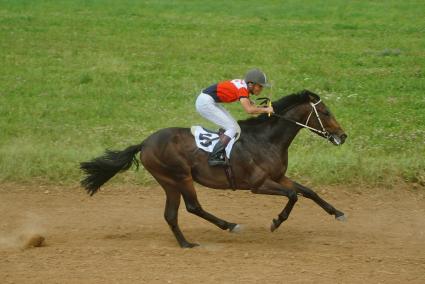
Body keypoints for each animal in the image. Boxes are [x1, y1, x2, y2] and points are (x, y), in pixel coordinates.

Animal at [80, 90, 348, 247]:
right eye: (325, 112)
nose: (343, 136)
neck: (267, 139)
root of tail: (145, 143)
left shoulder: (279, 177)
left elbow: (308, 191)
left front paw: (338, 213)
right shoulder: (259, 185)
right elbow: (293, 195)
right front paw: (276, 221)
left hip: (169, 182)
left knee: (171, 214)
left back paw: (186, 243)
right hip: (179, 177)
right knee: (193, 207)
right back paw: (228, 226)